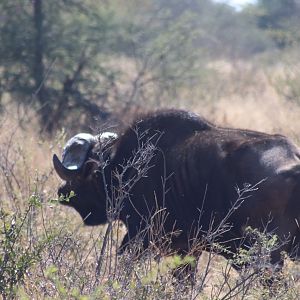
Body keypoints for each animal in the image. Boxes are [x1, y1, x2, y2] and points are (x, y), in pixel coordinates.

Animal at [52, 109, 300, 270]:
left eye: (85, 177)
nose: (63, 192)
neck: (127, 168)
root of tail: (294, 165)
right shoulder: (189, 250)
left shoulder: (143, 237)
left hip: (265, 256)